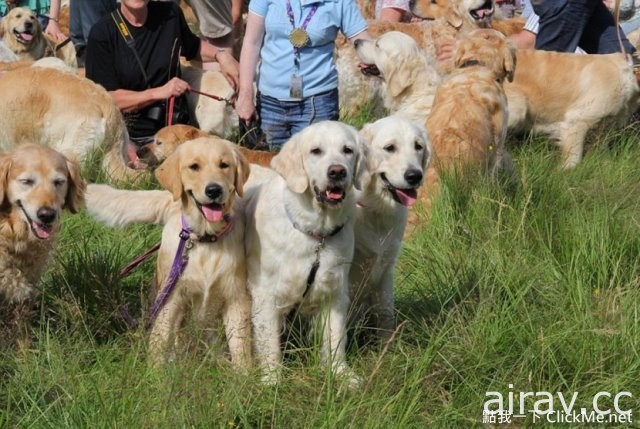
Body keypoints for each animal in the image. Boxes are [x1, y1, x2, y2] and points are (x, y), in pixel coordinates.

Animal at [86, 138, 251, 368]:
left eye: (224, 165)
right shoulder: (172, 298)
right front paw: (154, 372)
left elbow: (241, 348)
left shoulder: (236, 297)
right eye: (194, 166)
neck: (205, 239)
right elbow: (160, 341)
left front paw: (244, 375)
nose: (214, 190)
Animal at [245, 119, 364, 384]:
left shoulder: (335, 289)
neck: (316, 232)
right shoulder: (267, 292)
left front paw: (340, 373)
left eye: (348, 150)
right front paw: (272, 380)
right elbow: (269, 342)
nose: (337, 172)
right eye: (315, 151)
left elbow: (335, 337)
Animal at [352, 115, 432, 340]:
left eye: (418, 146)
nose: (415, 175)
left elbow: (386, 314)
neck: (376, 208)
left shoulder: (387, 268)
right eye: (390, 148)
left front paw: (387, 346)